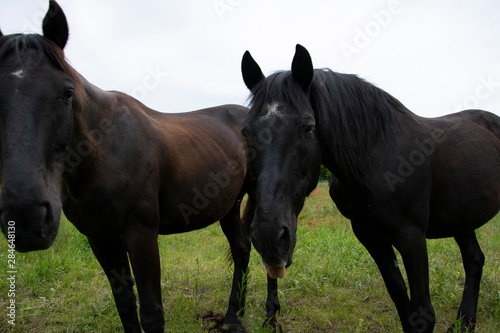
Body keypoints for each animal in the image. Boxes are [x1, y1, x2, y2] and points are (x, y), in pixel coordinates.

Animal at [0, 1, 282, 330]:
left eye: (66, 92)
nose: (26, 217)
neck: (104, 153)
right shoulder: (99, 239)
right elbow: (124, 303)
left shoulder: (141, 236)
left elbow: (151, 313)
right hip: (228, 206)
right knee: (241, 250)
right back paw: (233, 316)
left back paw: (270, 314)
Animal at [241, 42, 500, 330]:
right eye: (245, 132)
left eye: (308, 127)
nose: (268, 237)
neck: (377, 159)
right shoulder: (369, 235)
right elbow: (399, 294)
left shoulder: (412, 236)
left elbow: (423, 313)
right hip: (461, 219)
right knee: (474, 260)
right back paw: (464, 323)